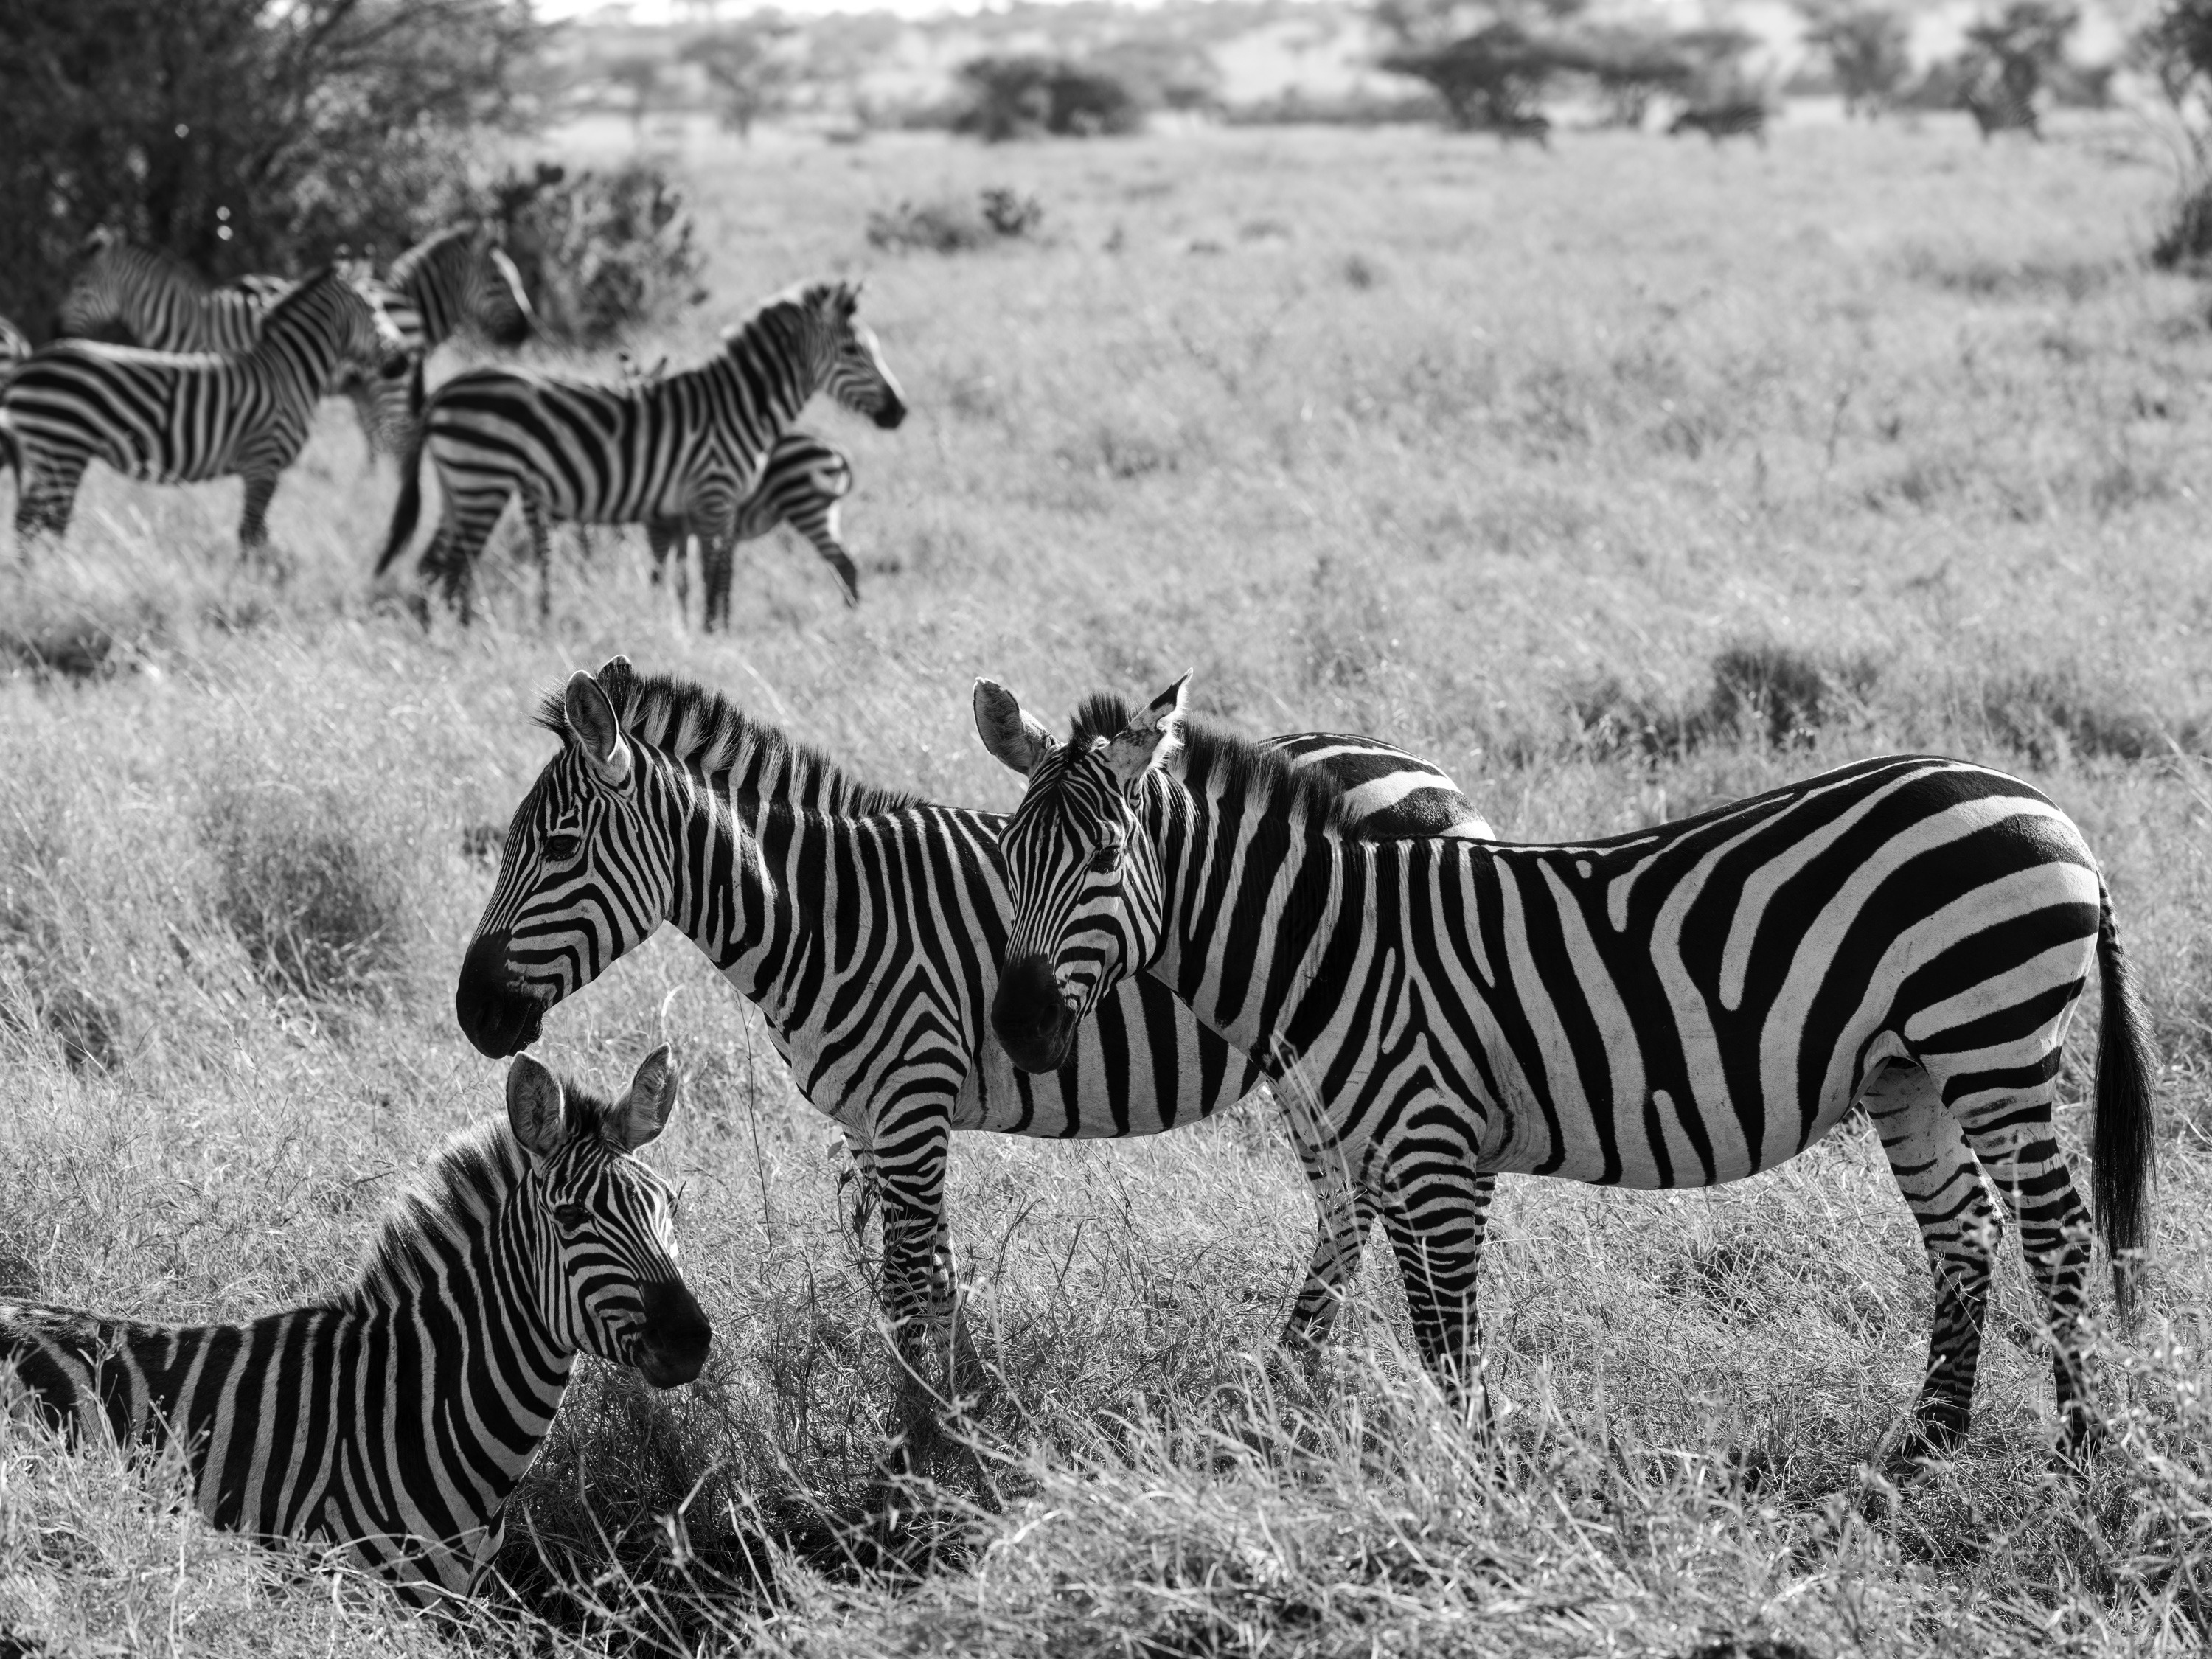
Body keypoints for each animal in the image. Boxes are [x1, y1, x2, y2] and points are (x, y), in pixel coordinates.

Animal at [3, 266, 410, 552]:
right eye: (375, 309)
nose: (404, 361)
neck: (287, 372)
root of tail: (29, 362)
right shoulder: (264, 463)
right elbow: (251, 536)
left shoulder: (260, 469)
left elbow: (259, 536)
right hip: (62, 450)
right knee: (44, 523)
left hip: (49, 453)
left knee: (27, 521)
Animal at [373, 280, 903, 624]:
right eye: (855, 351)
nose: (900, 411)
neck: (737, 406)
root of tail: (443, 392)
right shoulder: (712, 496)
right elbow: (713, 576)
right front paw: (712, 637)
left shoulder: (688, 509)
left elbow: (697, 576)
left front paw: (695, 632)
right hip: (482, 478)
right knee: (454, 567)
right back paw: (464, 641)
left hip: (460, 484)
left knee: (431, 566)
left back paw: (437, 640)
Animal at [449, 658, 1488, 1445]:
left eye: (559, 846)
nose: (472, 1015)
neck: (825, 915)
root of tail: (1427, 770)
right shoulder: (872, 1119)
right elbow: (924, 1280)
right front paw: (962, 1408)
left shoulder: (913, 1101)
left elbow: (912, 1280)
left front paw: (925, 1441)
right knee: (1349, 1206)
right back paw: (1289, 1381)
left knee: (1361, 1203)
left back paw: (1290, 1381)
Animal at [971, 674, 2157, 1461]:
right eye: (1006, 857)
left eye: (1105, 858)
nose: (1021, 1029)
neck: (1332, 941)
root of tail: (2050, 811)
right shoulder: (1396, 1150)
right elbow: (1425, 1318)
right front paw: (1460, 1464)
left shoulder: (1437, 1145)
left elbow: (1450, 1331)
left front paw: (1480, 1477)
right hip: (1909, 1067)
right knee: (1964, 1227)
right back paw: (1925, 1444)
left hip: (1990, 1035)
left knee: (2057, 1229)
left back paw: (2082, 1449)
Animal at [1667, 101, 1769, 146]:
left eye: (1675, 124)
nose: (1668, 132)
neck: (1703, 123)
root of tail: (1760, 109)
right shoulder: (1717, 135)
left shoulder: (1714, 135)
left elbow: (1716, 148)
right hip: (1756, 128)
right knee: (1764, 139)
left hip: (1753, 127)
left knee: (1762, 140)